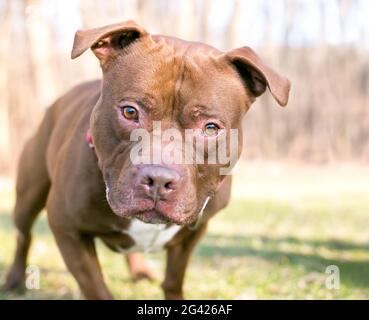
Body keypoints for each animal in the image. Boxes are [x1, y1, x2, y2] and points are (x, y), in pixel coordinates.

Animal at [3, 20, 290, 300]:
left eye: (210, 128)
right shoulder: (67, 227)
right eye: (130, 112)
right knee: (23, 235)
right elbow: (96, 288)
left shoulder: (193, 233)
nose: (159, 179)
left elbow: (173, 281)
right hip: (29, 194)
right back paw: (14, 280)